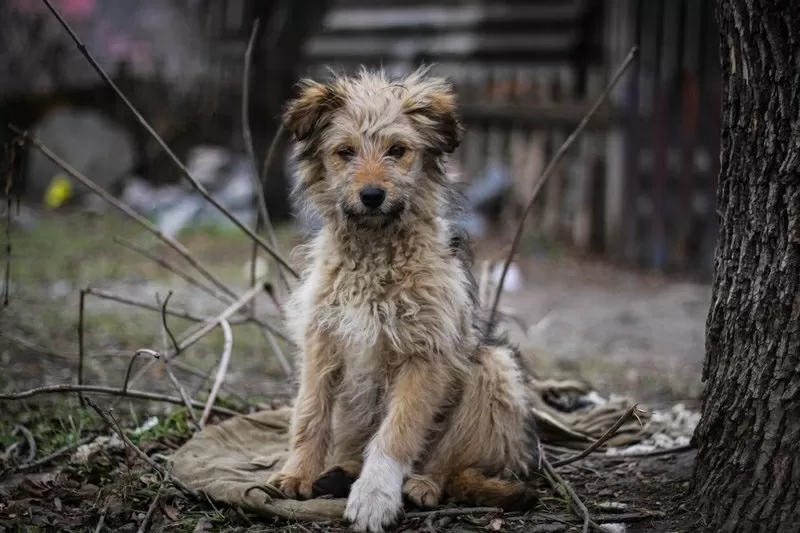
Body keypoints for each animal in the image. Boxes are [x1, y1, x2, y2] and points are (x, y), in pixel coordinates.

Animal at [270, 66, 544, 532]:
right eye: (345, 152)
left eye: (397, 150)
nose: (372, 196)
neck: (375, 252)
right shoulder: (322, 340)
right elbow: (309, 413)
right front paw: (298, 471)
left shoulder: (426, 354)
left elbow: (397, 432)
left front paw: (375, 496)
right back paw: (338, 472)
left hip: (493, 369)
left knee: (449, 461)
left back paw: (422, 485)